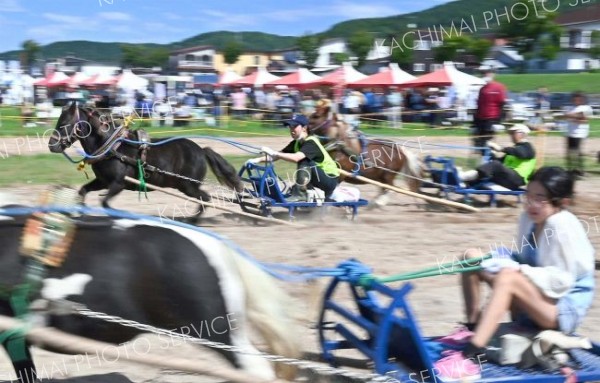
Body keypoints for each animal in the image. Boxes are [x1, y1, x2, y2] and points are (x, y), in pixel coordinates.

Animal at [48, 103, 243, 222]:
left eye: (64, 123)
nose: (51, 145)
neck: (112, 147)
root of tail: (201, 150)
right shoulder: (103, 181)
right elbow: (83, 191)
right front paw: (80, 213)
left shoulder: (118, 184)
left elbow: (105, 203)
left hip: (188, 185)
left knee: (206, 198)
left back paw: (193, 220)